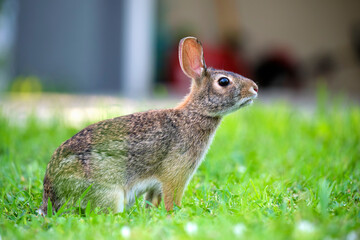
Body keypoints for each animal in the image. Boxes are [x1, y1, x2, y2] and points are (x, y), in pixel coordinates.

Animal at [38, 36, 258, 215]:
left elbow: (153, 201)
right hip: (109, 191)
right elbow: (172, 198)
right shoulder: (175, 174)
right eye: (224, 82)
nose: (255, 88)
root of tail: (51, 193)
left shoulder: (156, 185)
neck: (195, 113)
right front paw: (175, 213)